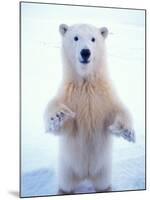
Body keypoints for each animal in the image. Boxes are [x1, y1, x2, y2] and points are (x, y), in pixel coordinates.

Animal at [44, 23, 135, 194]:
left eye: (93, 39)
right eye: (75, 37)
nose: (85, 52)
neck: (86, 83)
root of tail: (86, 175)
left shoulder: (104, 96)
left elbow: (117, 110)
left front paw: (127, 131)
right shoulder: (70, 95)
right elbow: (62, 124)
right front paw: (58, 115)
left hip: (103, 169)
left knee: (103, 184)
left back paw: (106, 189)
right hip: (67, 167)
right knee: (66, 184)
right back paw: (63, 190)